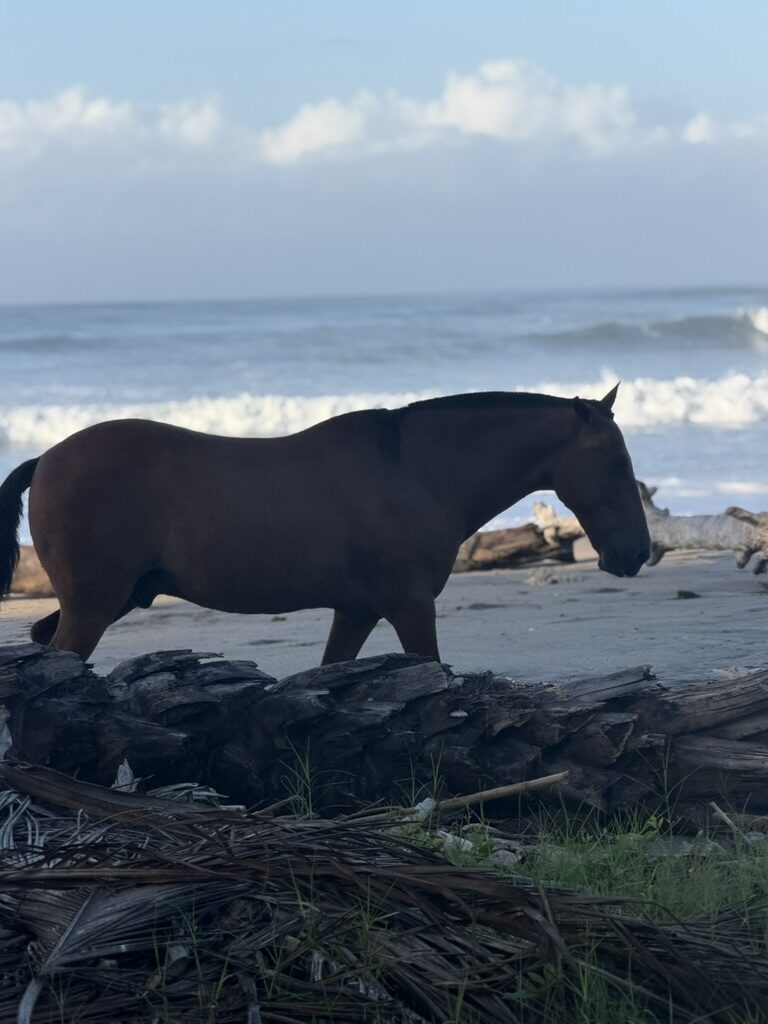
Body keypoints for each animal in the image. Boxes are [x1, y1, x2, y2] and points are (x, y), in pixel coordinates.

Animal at [0, 385, 649, 663]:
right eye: (617, 464)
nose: (637, 552)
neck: (413, 468)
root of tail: (47, 457)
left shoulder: (358, 610)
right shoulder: (411, 606)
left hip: (106, 603)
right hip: (93, 607)